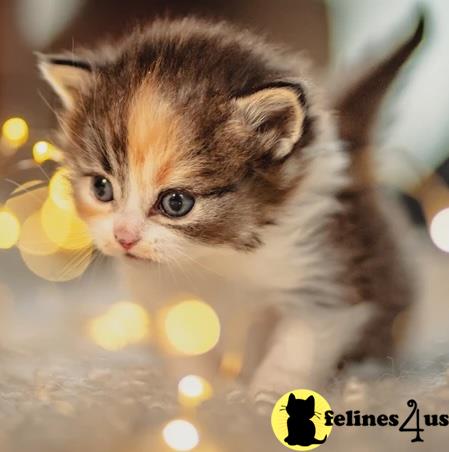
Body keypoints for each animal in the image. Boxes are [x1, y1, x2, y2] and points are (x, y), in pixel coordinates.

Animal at [37, 16, 420, 400]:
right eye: (101, 188)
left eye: (176, 202)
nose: (124, 236)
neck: (216, 258)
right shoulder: (164, 297)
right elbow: (188, 353)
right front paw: (204, 396)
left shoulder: (328, 275)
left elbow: (298, 347)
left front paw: (264, 399)